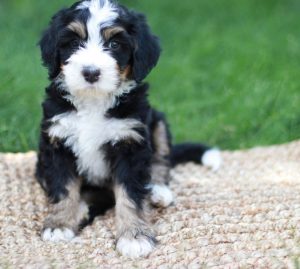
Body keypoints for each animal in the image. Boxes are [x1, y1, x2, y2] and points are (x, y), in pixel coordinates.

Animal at [36, 0, 221, 256]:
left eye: (114, 44)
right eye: (73, 43)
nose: (91, 72)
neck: (94, 102)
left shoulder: (130, 142)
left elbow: (129, 195)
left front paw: (134, 236)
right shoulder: (57, 141)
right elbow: (63, 188)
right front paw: (60, 223)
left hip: (158, 122)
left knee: (161, 161)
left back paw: (158, 191)